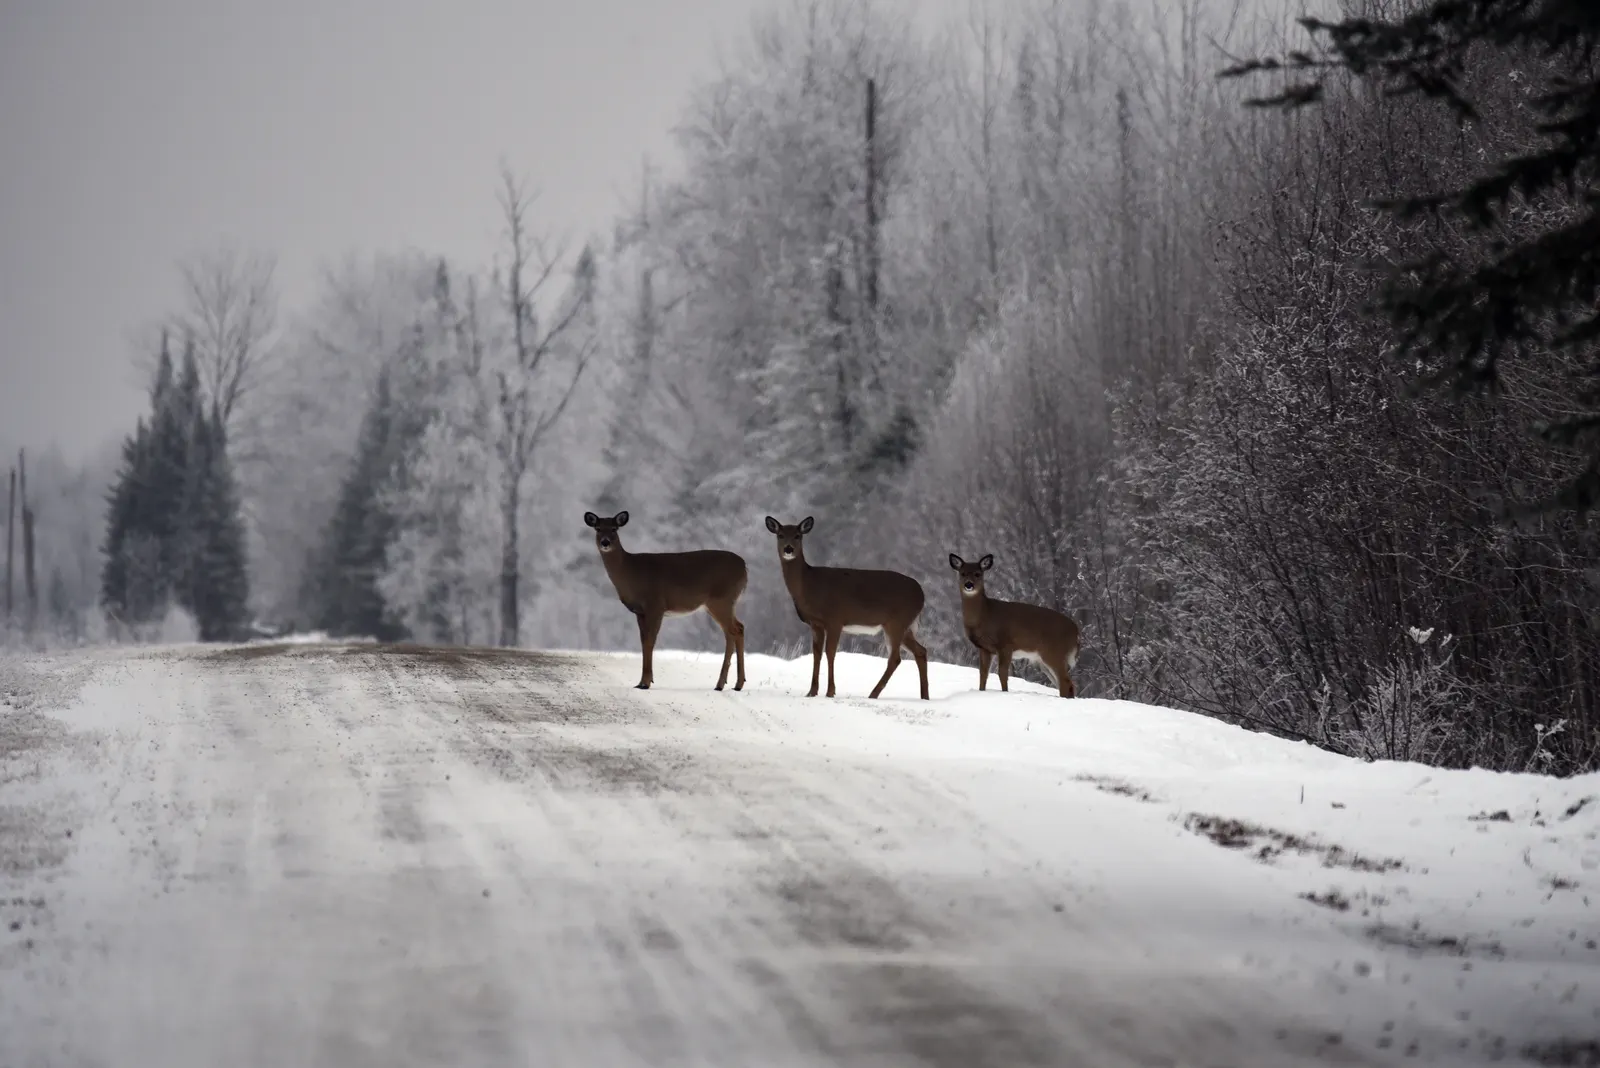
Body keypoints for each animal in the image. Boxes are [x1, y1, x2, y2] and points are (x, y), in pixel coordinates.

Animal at [583, 510, 748, 692]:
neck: (630, 571)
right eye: (598, 528)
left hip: (721, 599)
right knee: (736, 629)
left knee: (735, 630)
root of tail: (744, 567)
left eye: (614, 528)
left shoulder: (655, 604)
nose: (605, 542)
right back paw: (729, 684)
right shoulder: (640, 612)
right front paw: (642, 681)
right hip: (721, 603)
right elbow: (643, 641)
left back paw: (731, 684)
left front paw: (646, 682)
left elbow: (650, 641)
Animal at [765, 515, 929, 701]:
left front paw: (830, 692)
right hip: (905, 625)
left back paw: (873, 694)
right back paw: (924, 696)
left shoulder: (835, 619)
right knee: (921, 651)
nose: (788, 549)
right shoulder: (816, 623)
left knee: (895, 658)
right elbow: (816, 653)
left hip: (897, 621)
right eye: (780, 535)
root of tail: (921, 593)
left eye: (798, 535)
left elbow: (830, 653)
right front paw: (811, 692)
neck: (808, 585)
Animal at [949, 553, 1081, 698]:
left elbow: (1002, 673)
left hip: (1054, 651)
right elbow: (983, 674)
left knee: (1066, 682)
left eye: (978, 574)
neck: (985, 615)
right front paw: (982, 692)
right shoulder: (985, 648)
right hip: (1043, 660)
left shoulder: (1006, 644)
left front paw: (1004, 693)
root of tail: (1076, 631)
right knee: (1067, 684)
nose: (969, 584)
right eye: (962, 573)